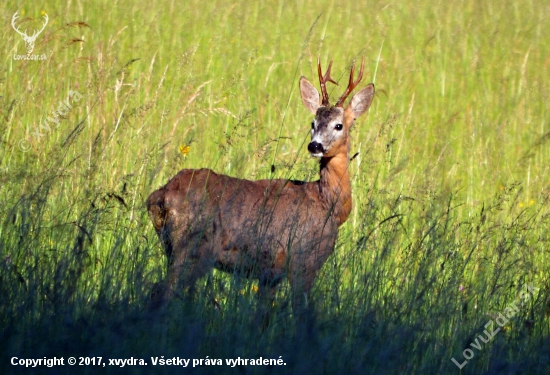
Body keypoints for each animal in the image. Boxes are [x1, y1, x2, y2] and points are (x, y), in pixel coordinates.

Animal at [149, 57, 378, 318]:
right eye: (313, 122)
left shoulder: (271, 273)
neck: (329, 203)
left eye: (339, 125)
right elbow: (303, 314)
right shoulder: (304, 260)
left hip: (173, 248)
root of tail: (160, 196)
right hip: (193, 248)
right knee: (162, 293)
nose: (315, 146)